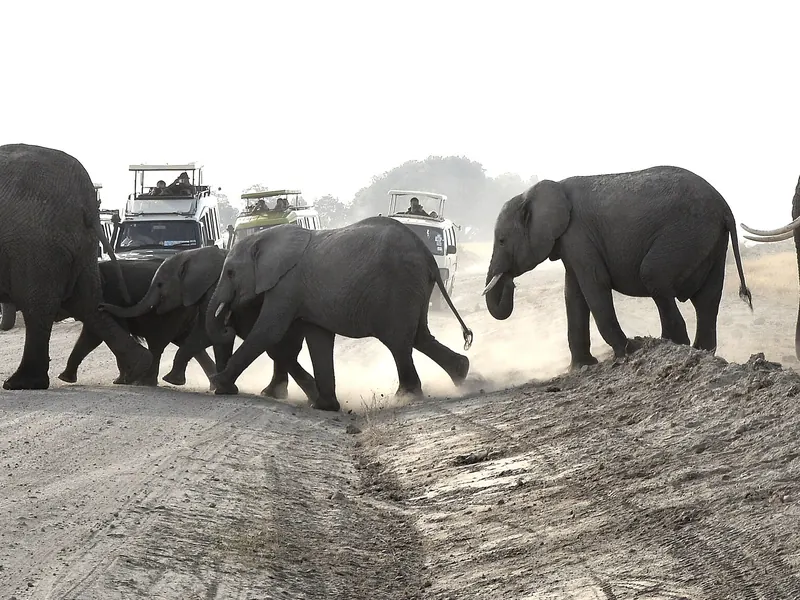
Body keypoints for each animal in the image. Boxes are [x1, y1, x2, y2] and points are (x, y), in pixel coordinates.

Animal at [0, 143, 151, 389]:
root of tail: (86, 199)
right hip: (79, 245)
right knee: (87, 303)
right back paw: (138, 369)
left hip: (38, 246)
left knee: (38, 304)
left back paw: (21, 383)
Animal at [58, 258, 217, 386]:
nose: (101, 306)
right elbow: (91, 336)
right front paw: (64, 378)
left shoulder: (110, 296)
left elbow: (94, 336)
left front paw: (122, 381)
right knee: (188, 342)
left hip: (169, 313)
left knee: (158, 343)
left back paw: (145, 383)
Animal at [99, 246, 321, 403]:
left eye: (160, 284)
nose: (101, 306)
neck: (193, 255)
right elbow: (214, 337)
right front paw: (223, 389)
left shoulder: (214, 290)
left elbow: (206, 332)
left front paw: (173, 380)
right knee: (282, 351)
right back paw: (278, 393)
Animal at [205, 216, 474, 411]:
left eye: (230, 272)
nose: (227, 320)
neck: (265, 237)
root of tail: (427, 255)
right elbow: (318, 340)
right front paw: (324, 406)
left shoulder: (286, 285)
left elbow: (268, 332)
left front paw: (219, 385)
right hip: (413, 288)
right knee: (419, 336)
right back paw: (462, 374)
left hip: (399, 286)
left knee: (398, 341)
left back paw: (405, 397)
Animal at [483, 165, 753, 370]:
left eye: (502, 241)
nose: (509, 282)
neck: (534, 192)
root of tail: (725, 207)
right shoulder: (571, 242)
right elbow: (573, 295)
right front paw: (582, 366)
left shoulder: (578, 235)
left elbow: (594, 286)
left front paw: (629, 351)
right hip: (711, 241)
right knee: (707, 299)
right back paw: (699, 351)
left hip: (686, 233)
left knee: (653, 276)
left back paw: (670, 345)